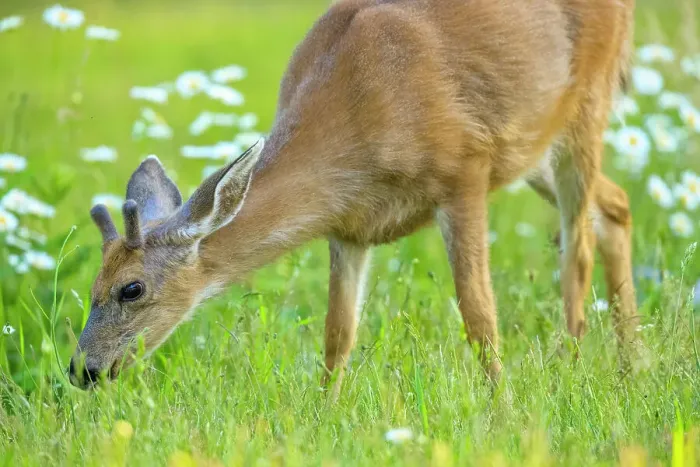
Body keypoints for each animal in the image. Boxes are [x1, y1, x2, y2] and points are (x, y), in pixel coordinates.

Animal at [69, 0, 641, 393]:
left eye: (131, 289)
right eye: (93, 286)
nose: (82, 370)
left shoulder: (465, 171)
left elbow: (478, 315)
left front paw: (501, 407)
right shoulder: (349, 228)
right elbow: (337, 335)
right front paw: (324, 412)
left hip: (586, 108)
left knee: (577, 247)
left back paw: (572, 367)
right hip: (535, 149)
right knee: (615, 205)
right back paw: (633, 364)